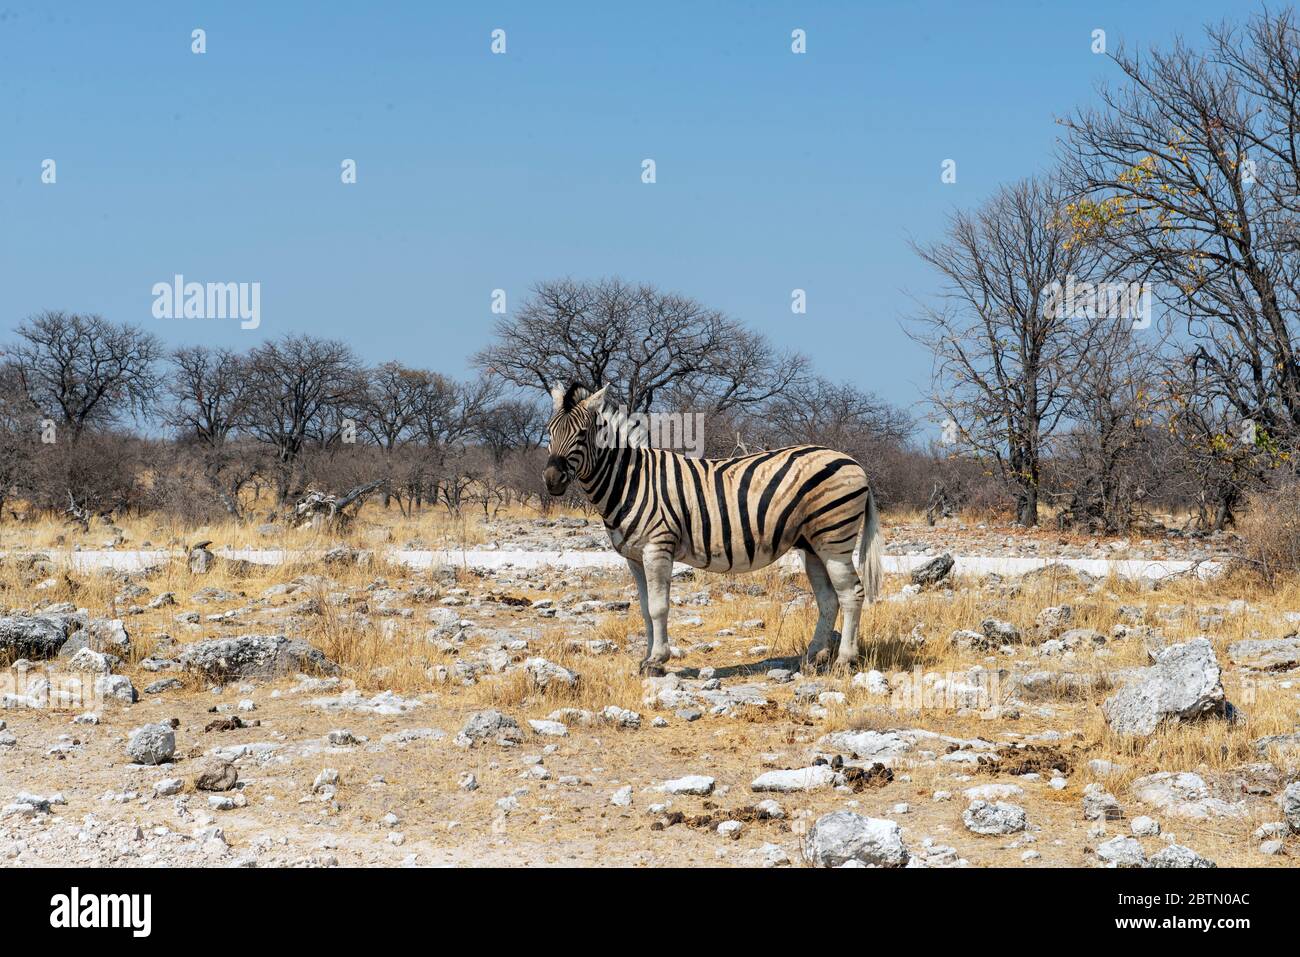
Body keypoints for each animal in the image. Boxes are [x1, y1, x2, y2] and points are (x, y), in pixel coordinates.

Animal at [543, 383, 883, 675]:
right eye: (549, 431)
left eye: (582, 434)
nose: (551, 480)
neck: (630, 481)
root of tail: (852, 461)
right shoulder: (634, 557)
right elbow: (644, 607)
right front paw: (647, 658)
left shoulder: (657, 547)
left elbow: (658, 607)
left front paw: (657, 660)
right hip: (813, 546)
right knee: (829, 599)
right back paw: (813, 657)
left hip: (834, 539)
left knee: (852, 593)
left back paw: (844, 660)